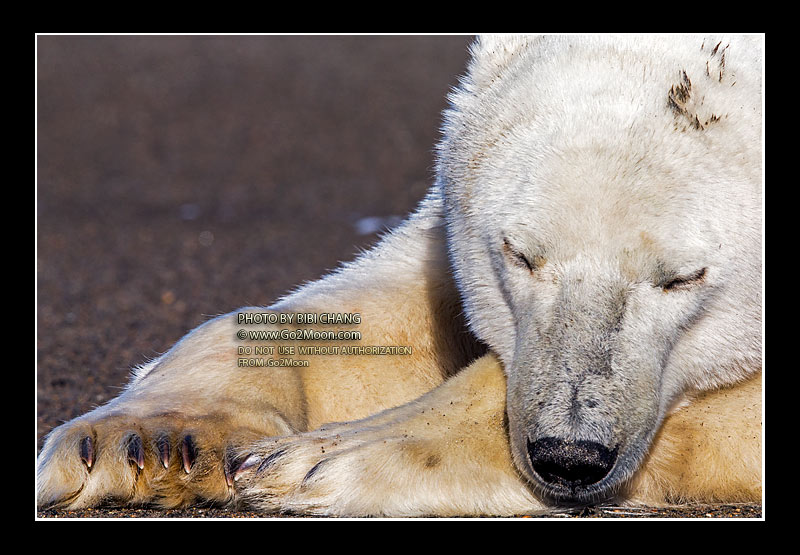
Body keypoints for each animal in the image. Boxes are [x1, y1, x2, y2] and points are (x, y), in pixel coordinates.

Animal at [36, 34, 763, 517]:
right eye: (519, 254)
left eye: (682, 278)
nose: (569, 455)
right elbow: (391, 298)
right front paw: (149, 442)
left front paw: (320, 460)